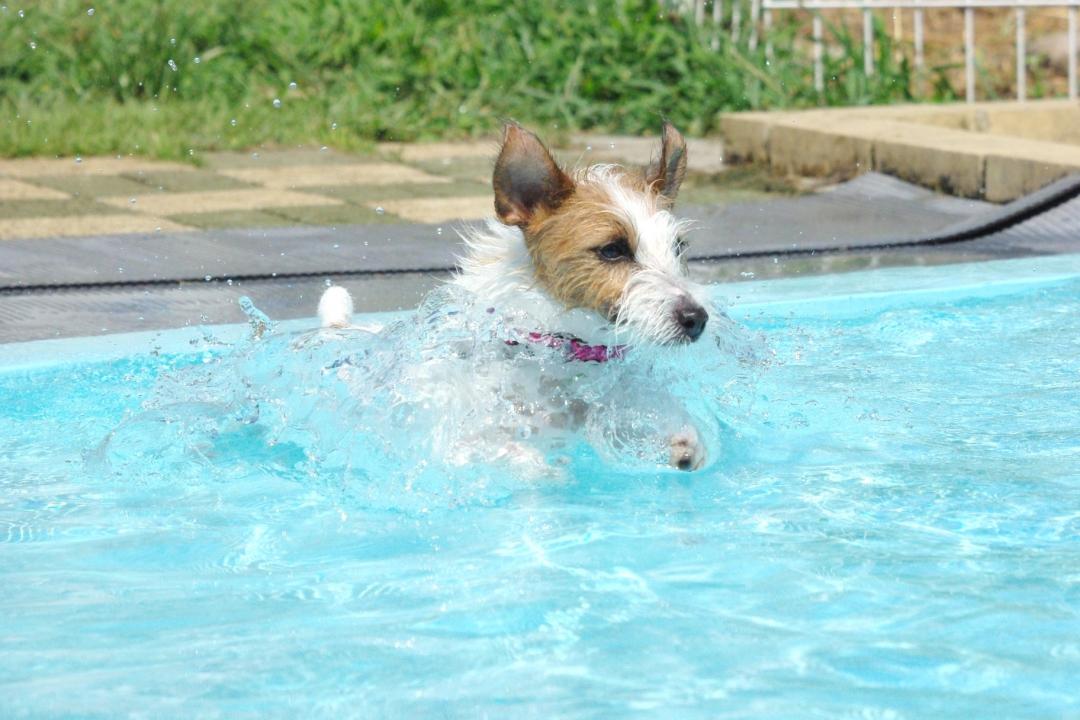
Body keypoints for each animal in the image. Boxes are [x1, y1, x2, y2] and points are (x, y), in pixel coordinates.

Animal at [315, 122, 712, 472]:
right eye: (613, 250)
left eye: (678, 247)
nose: (696, 319)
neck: (552, 349)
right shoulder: (458, 440)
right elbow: (514, 454)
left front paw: (680, 441)